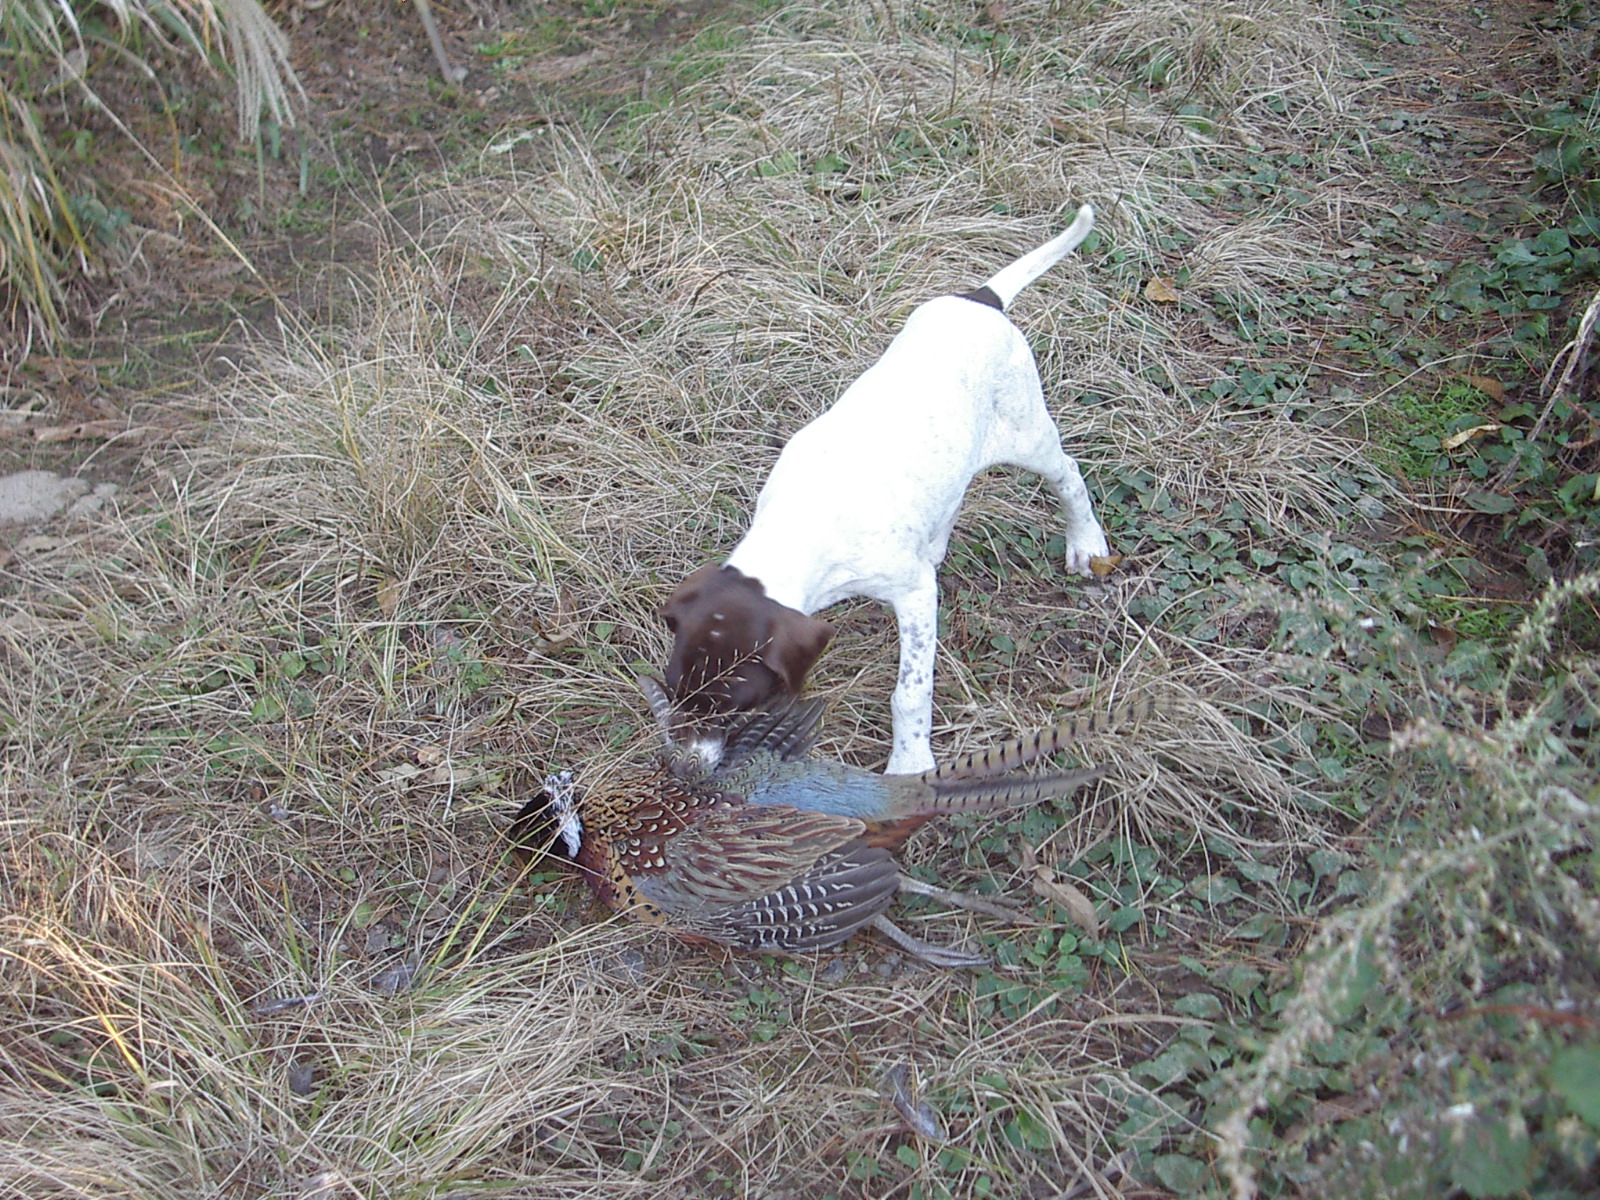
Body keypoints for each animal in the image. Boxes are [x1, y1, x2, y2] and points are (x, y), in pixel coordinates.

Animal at [661, 205, 1109, 774]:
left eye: (733, 704)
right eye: (676, 693)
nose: (683, 769)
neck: (801, 522)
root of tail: (980, 299)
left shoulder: (913, 593)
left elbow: (910, 692)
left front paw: (910, 761)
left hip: (1026, 432)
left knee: (1068, 474)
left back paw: (1086, 542)